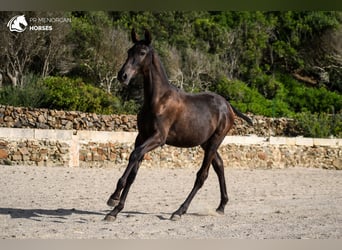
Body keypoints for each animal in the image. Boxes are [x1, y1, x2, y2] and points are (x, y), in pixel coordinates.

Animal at [104, 28, 251, 221]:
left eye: (142, 52)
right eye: (129, 51)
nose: (123, 76)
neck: (158, 99)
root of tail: (228, 106)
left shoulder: (158, 138)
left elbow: (134, 156)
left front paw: (113, 198)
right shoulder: (141, 137)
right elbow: (134, 170)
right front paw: (115, 210)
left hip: (214, 141)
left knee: (202, 175)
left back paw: (179, 211)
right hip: (207, 143)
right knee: (219, 166)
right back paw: (221, 206)